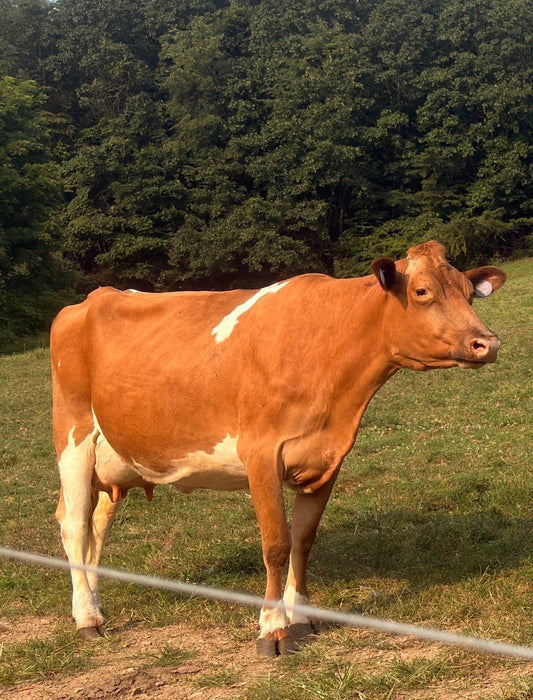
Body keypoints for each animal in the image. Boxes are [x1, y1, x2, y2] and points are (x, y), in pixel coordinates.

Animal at [51, 240, 506, 656]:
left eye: (469, 292)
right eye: (422, 292)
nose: (487, 343)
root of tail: (93, 297)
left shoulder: (327, 457)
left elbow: (303, 539)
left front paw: (301, 616)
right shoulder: (261, 454)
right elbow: (276, 544)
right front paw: (272, 627)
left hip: (115, 459)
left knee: (97, 526)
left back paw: (93, 604)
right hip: (73, 436)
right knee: (74, 524)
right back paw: (87, 619)